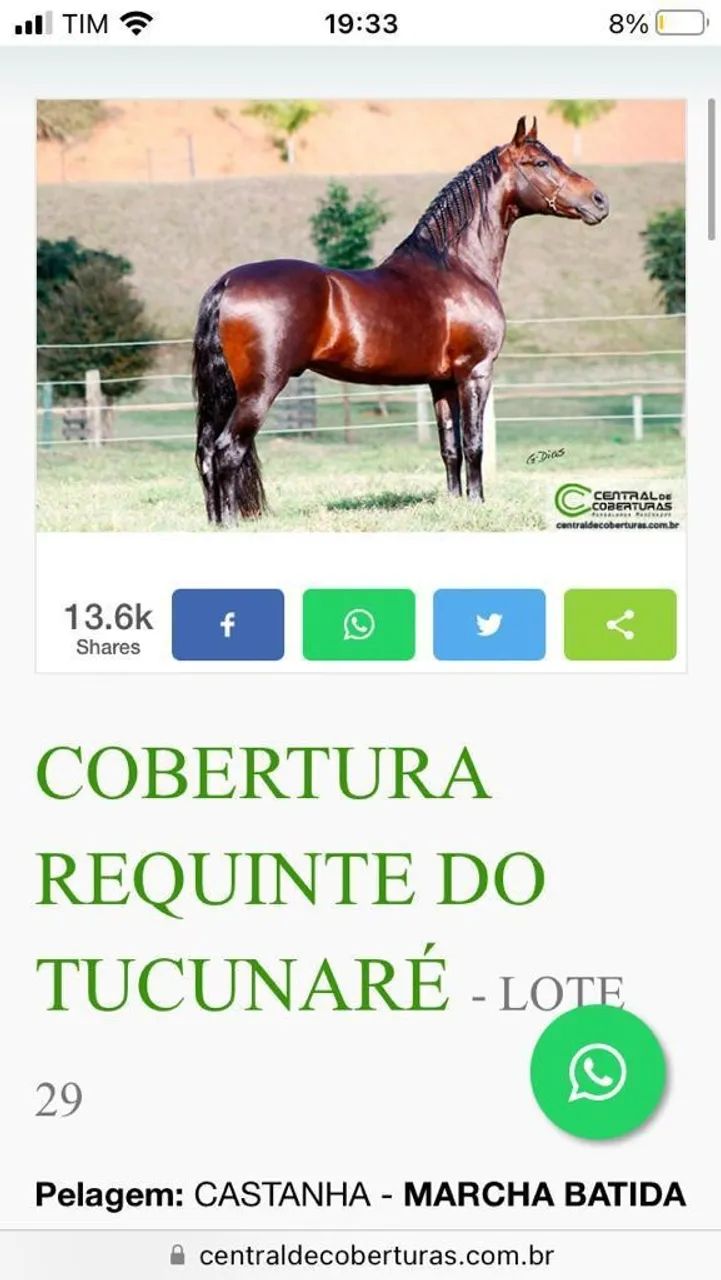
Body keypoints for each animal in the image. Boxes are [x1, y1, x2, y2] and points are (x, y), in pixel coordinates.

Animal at [193, 115, 609, 523]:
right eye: (541, 163)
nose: (599, 201)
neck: (457, 266)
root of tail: (227, 282)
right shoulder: (475, 373)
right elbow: (474, 445)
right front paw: (478, 505)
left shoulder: (441, 383)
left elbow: (450, 448)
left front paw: (454, 504)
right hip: (259, 390)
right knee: (227, 451)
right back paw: (229, 523)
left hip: (229, 394)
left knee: (207, 455)